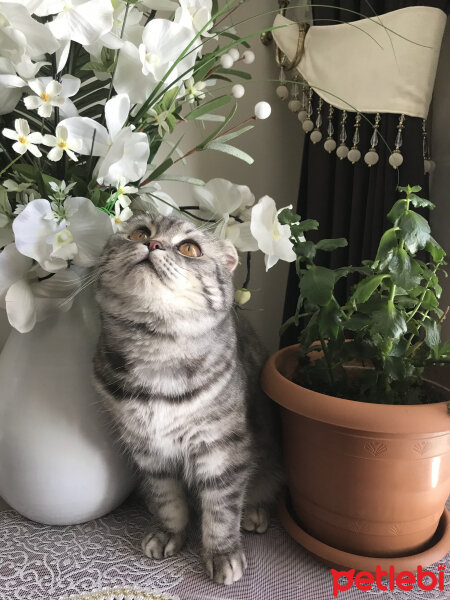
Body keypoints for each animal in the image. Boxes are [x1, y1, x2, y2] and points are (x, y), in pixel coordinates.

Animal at [92, 214, 282, 584]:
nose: (152, 244)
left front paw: (222, 554)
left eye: (189, 248)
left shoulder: (222, 449)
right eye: (140, 233)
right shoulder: (148, 451)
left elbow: (221, 510)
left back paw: (254, 512)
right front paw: (170, 534)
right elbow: (167, 500)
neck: (156, 352)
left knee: (261, 491)